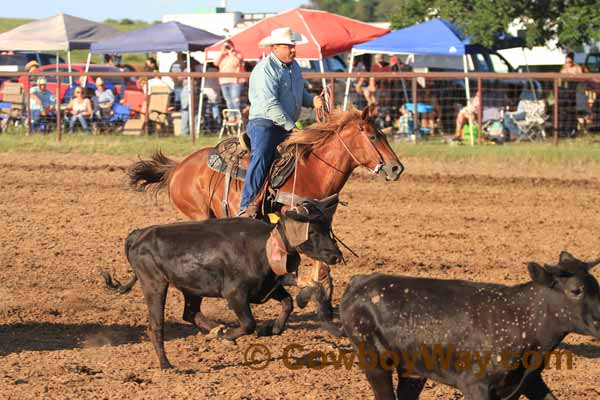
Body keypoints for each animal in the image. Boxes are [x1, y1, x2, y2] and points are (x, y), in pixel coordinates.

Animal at [103, 195, 342, 368]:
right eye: (312, 231)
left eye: (328, 228)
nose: (336, 255)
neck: (264, 246)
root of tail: (139, 234)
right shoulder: (235, 295)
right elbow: (248, 324)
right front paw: (231, 334)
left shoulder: (266, 288)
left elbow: (288, 303)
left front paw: (271, 329)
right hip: (154, 284)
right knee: (156, 325)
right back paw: (167, 364)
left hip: (192, 289)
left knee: (190, 313)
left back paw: (215, 331)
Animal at [340, 253, 596, 400]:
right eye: (576, 290)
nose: (599, 323)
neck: (522, 319)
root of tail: (360, 280)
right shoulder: (475, 385)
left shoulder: (529, 381)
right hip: (374, 363)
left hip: (412, 371)